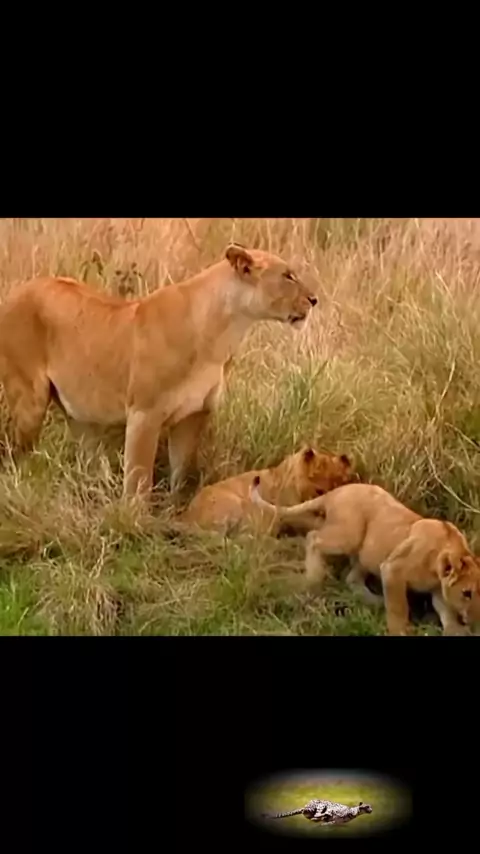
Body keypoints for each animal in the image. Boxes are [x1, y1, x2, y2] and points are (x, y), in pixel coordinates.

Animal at [0, 243, 318, 500]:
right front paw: (135, 520)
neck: (223, 333)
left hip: (78, 412)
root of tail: (17, 291)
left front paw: (176, 508)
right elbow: (139, 477)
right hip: (29, 400)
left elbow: (181, 470)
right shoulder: (144, 413)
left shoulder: (194, 413)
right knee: (19, 456)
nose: (315, 300)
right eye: (288, 276)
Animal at [178, 447, 355, 535]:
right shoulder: (291, 513)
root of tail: (186, 516)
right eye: (319, 490)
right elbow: (315, 521)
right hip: (235, 504)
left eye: (339, 484)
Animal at [249, 479, 480, 635]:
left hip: (366, 552)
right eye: (467, 593)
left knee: (351, 578)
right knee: (313, 537)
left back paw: (375, 600)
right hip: (349, 535)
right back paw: (314, 577)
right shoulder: (393, 569)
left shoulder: (438, 590)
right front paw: (399, 631)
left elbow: (445, 610)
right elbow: (398, 608)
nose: (476, 621)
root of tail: (337, 491)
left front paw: (456, 630)